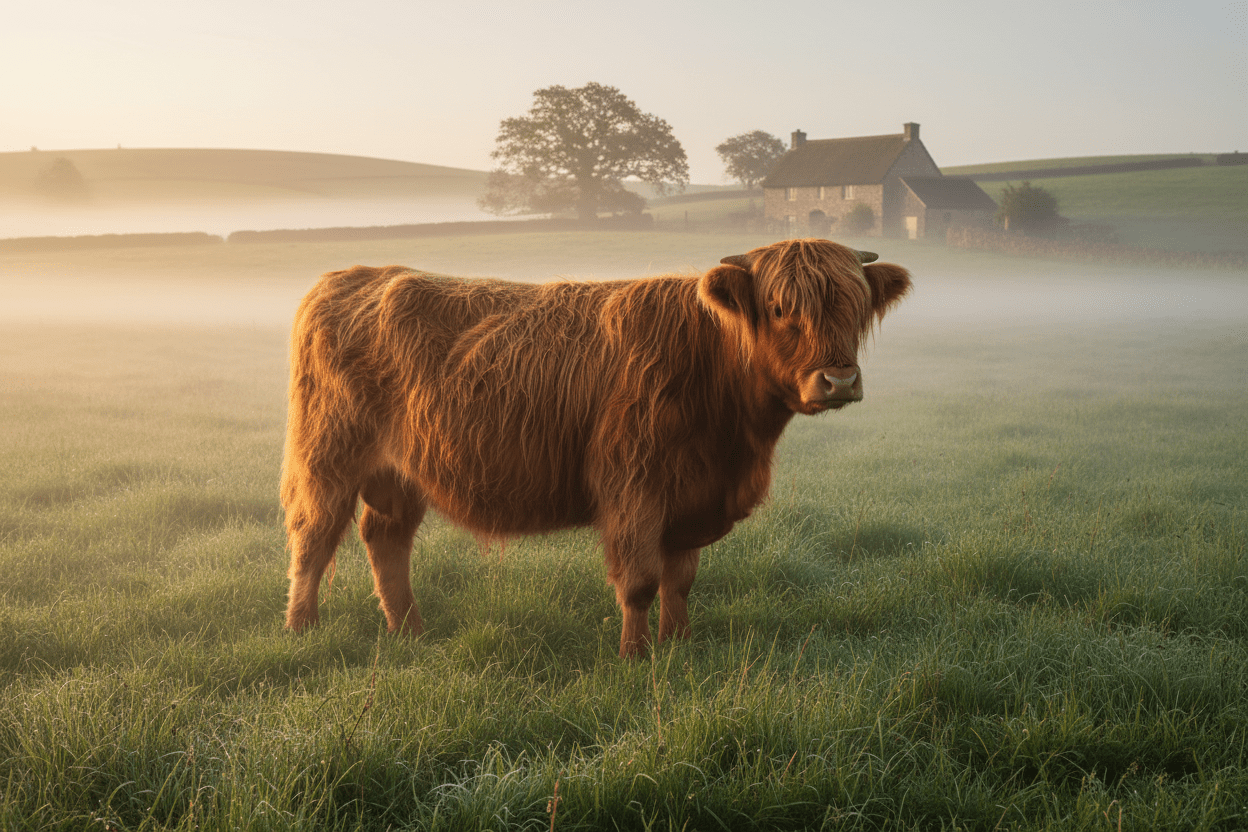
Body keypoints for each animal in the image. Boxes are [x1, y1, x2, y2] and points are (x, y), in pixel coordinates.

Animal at [280, 238, 911, 657]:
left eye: (857, 307)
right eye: (781, 309)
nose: (838, 380)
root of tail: (348, 275)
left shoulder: (690, 498)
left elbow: (680, 580)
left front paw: (680, 647)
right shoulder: (634, 489)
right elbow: (639, 581)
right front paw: (636, 657)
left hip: (402, 471)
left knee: (385, 538)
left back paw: (408, 630)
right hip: (329, 455)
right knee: (314, 537)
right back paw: (301, 628)